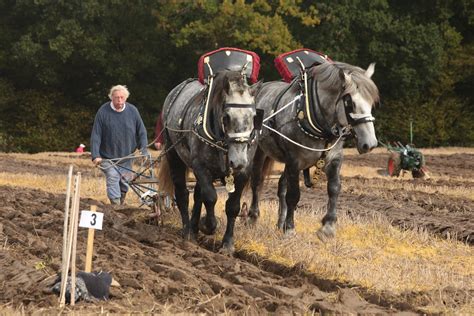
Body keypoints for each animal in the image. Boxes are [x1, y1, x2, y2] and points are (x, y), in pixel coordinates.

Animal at [158, 70, 262, 253]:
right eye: (226, 117)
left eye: (254, 117)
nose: (238, 161)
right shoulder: (200, 166)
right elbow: (210, 197)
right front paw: (208, 225)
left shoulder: (242, 173)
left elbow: (232, 206)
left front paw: (227, 244)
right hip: (174, 155)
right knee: (183, 194)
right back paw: (188, 232)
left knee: (197, 194)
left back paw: (193, 227)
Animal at [250, 61, 380, 239]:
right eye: (350, 103)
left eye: (371, 102)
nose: (370, 144)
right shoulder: (294, 160)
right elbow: (294, 195)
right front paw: (290, 228)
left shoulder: (334, 158)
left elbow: (334, 189)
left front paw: (328, 226)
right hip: (259, 151)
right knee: (257, 182)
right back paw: (253, 217)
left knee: (281, 186)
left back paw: (279, 222)